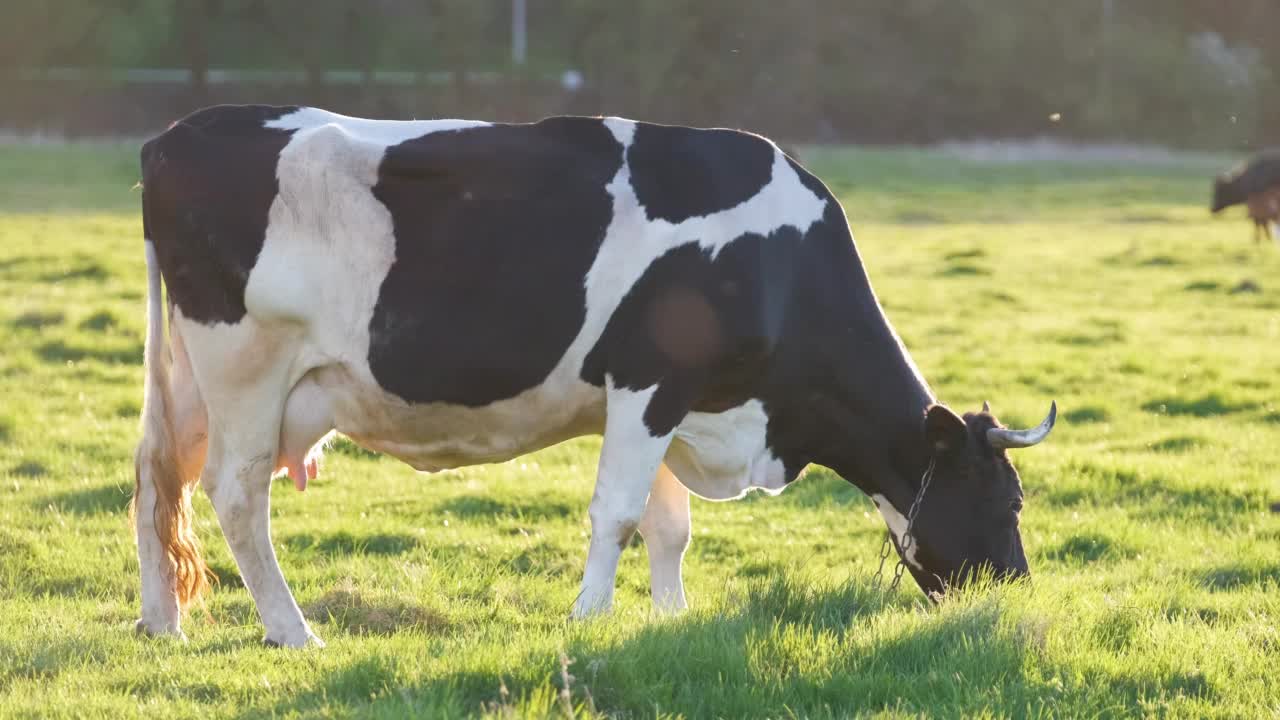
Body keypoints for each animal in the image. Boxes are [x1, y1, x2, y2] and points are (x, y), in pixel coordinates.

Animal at [129, 105, 1054, 645]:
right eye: (1007, 502)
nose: (1015, 595)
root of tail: (174, 133)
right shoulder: (650, 383)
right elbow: (617, 513)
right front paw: (588, 616)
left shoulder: (677, 404)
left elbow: (670, 527)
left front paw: (672, 616)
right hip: (247, 364)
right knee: (237, 495)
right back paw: (292, 629)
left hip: (189, 378)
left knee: (155, 477)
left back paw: (162, 621)